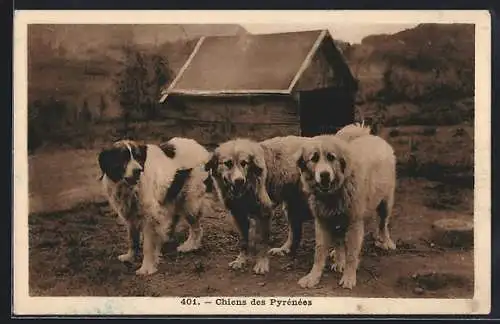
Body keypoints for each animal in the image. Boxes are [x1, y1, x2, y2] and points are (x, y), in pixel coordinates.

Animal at [98, 137, 212, 276]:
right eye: (123, 158)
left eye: (138, 157)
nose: (138, 171)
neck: (128, 187)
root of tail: (200, 147)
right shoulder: (131, 216)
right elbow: (132, 239)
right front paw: (130, 257)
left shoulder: (150, 217)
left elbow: (148, 246)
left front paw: (146, 267)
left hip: (189, 202)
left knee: (196, 228)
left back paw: (189, 246)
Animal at [294, 123, 396, 288]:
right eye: (314, 158)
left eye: (331, 157)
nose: (324, 175)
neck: (335, 191)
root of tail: (369, 135)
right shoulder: (322, 221)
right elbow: (319, 252)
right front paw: (313, 276)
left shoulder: (354, 223)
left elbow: (352, 255)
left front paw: (349, 277)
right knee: (340, 240)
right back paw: (337, 256)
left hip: (385, 203)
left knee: (383, 224)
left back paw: (385, 241)